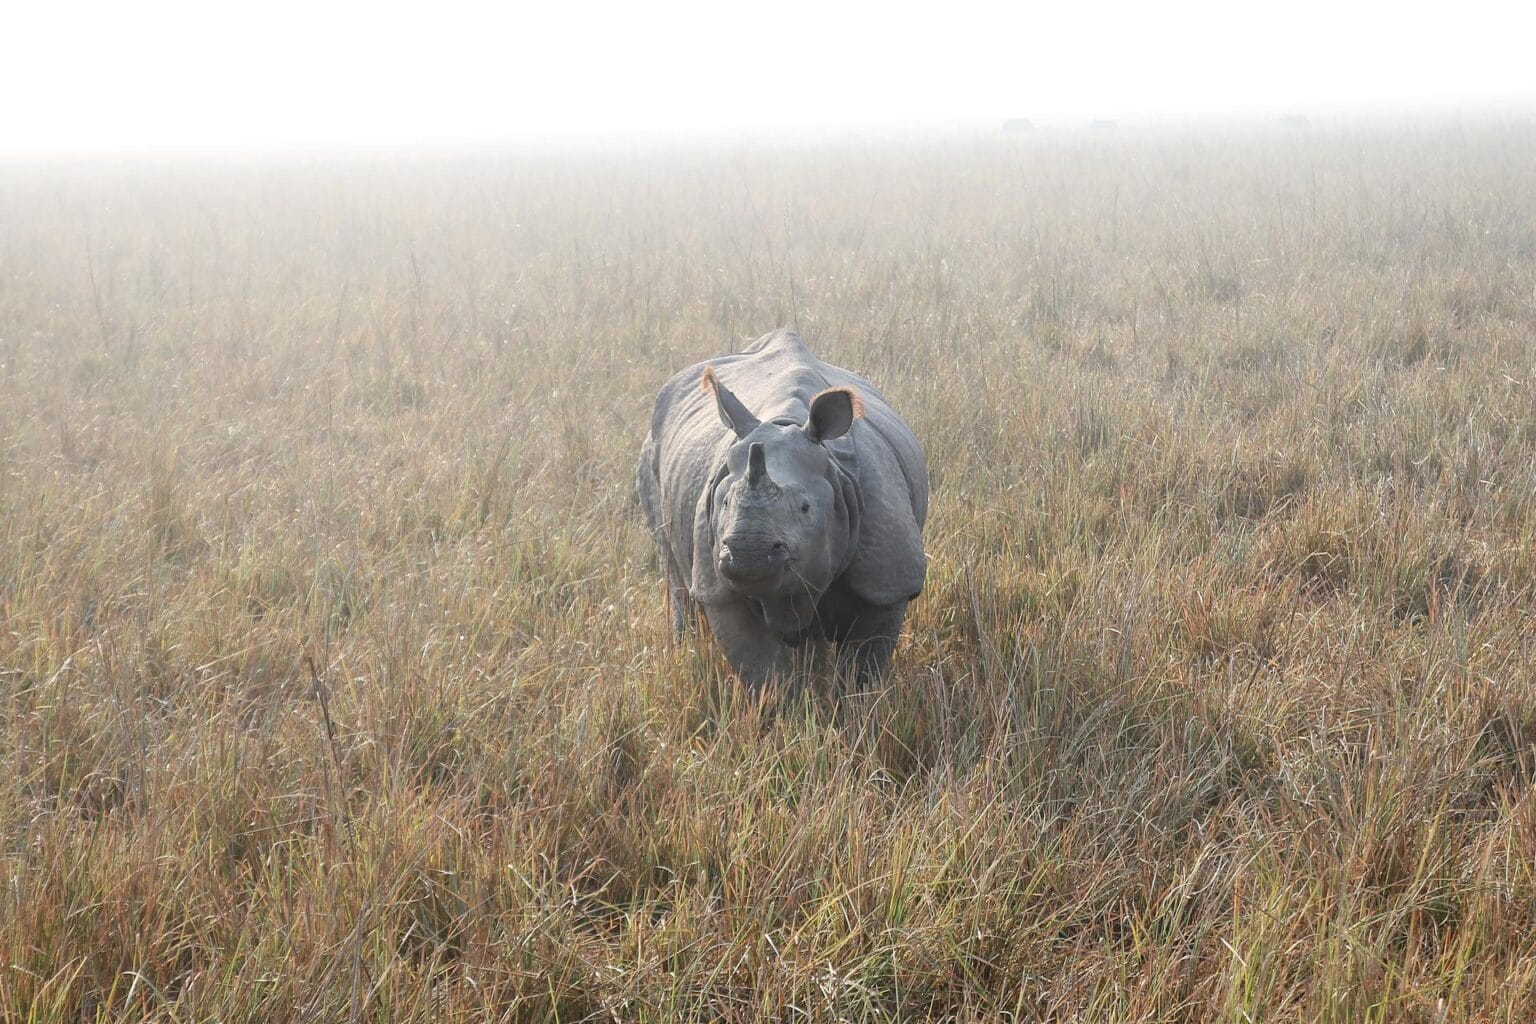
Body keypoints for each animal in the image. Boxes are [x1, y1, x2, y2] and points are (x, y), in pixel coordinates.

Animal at [636, 329, 928, 687]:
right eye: (725, 503)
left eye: (805, 508)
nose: (748, 554)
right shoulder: (717, 586)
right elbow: (761, 668)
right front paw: (780, 701)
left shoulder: (887, 580)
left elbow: (865, 663)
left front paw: (857, 699)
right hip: (650, 453)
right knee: (676, 577)